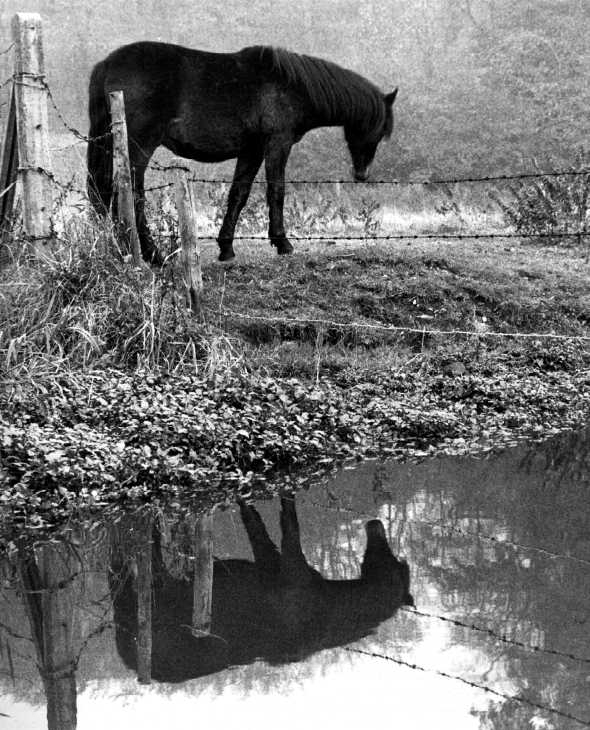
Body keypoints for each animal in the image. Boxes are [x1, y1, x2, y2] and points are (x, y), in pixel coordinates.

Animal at [87, 42, 398, 265]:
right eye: (378, 129)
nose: (362, 174)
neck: (292, 86)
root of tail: (106, 65)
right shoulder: (278, 144)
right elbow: (276, 190)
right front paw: (283, 243)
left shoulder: (252, 151)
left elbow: (239, 194)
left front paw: (226, 248)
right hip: (139, 147)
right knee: (130, 194)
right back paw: (152, 254)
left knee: (102, 192)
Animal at [110, 497, 413, 682]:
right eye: (395, 565)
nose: (375, 523)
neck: (331, 604)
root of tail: (127, 654)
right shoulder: (287, 568)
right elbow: (282, 524)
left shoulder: (276, 566)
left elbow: (264, 527)